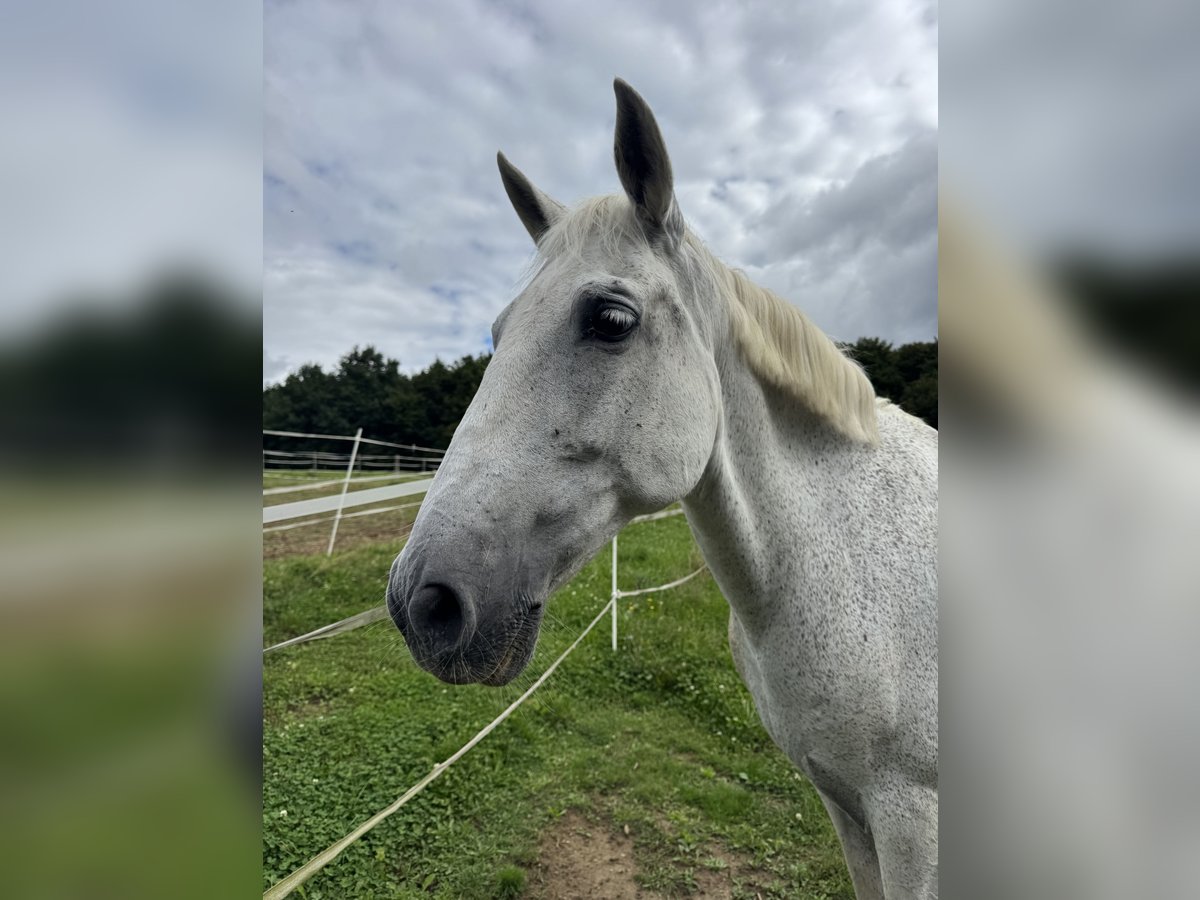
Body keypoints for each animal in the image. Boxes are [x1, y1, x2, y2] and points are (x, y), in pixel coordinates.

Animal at [387, 79, 938, 899]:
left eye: (611, 319)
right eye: (498, 330)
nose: (421, 602)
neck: (841, 559)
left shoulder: (914, 819)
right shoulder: (847, 807)